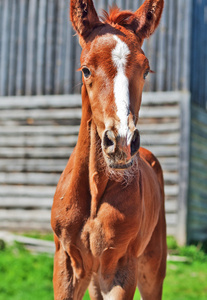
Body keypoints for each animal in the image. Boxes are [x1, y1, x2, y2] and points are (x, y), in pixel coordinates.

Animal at [51, 1, 167, 298]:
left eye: (146, 70)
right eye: (85, 69)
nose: (122, 142)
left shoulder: (121, 268)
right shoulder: (66, 263)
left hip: (152, 267)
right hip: (92, 278)